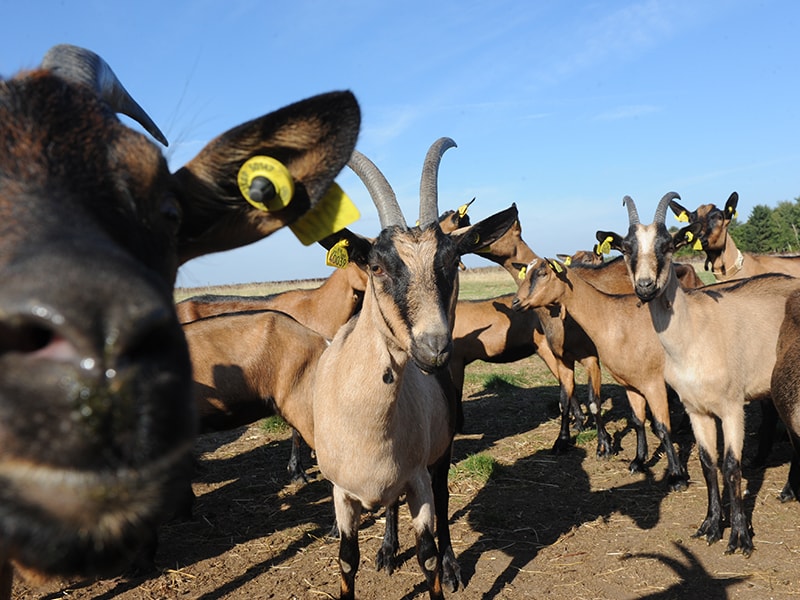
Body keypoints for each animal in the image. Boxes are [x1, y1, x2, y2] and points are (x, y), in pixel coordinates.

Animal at [310, 142, 516, 600]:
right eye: (376, 266)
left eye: (453, 262)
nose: (433, 348)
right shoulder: (341, 494)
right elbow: (346, 561)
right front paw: (379, 554)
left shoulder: (419, 478)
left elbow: (427, 556)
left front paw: (445, 570)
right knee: (390, 507)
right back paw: (387, 550)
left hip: (440, 452)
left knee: (442, 503)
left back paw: (452, 564)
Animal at [600, 192, 800, 556]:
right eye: (625, 248)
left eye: (667, 245)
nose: (645, 286)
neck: (694, 333)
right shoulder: (696, 409)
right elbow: (709, 464)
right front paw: (710, 526)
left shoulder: (732, 407)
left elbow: (731, 466)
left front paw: (740, 537)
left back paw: (789, 492)